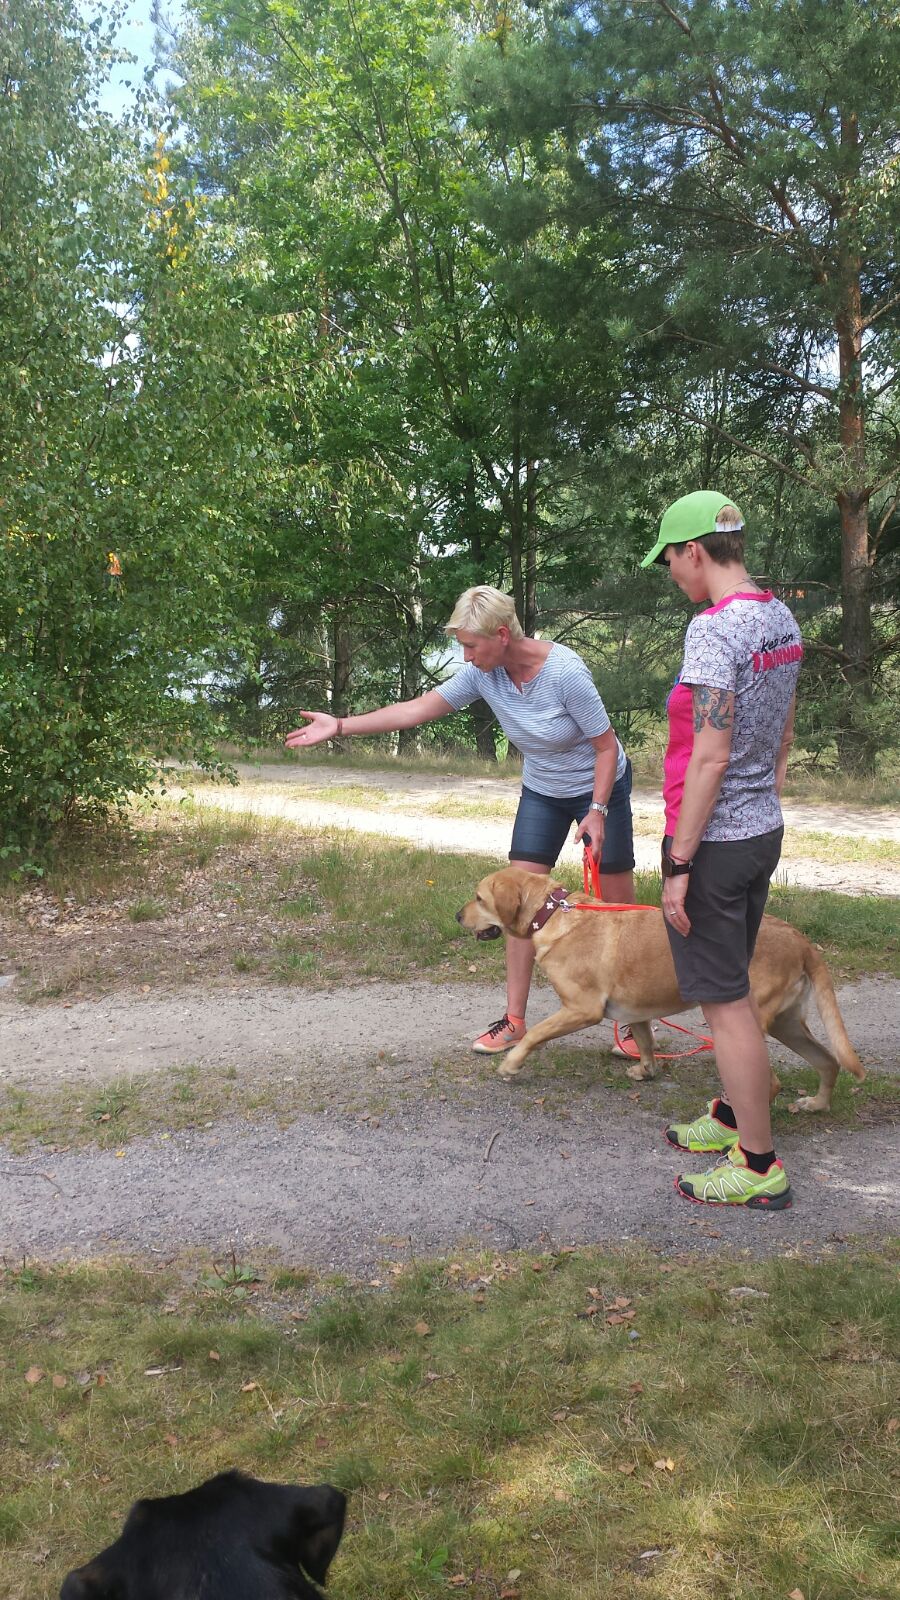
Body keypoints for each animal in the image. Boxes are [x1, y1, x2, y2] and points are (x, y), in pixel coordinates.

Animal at [454, 864, 864, 1113]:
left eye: (478, 898)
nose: (457, 916)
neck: (552, 912)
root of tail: (801, 940)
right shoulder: (635, 1011)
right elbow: (646, 1042)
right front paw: (646, 1071)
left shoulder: (581, 1009)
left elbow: (534, 1033)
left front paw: (512, 1063)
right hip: (787, 1024)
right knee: (828, 1061)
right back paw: (816, 1104)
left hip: (750, 1019)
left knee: (772, 1082)